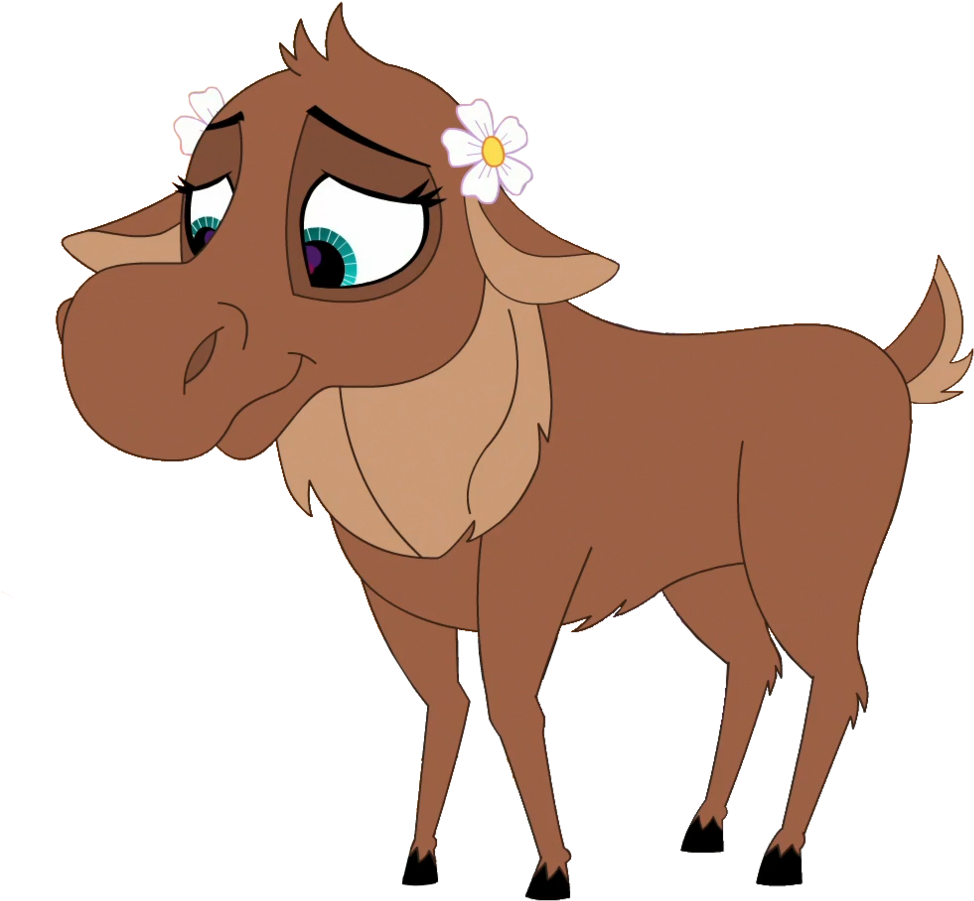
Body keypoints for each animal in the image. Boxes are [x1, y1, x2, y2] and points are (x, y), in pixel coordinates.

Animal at [57, 8, 970, 897]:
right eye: (201, 222)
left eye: (334, 252)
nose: (101, 335)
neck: (407, 460)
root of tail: (890, 366)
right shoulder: (400, 606)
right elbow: (445, 704)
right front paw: (419, 858)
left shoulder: (525, 586)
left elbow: (512, 708)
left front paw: (556, 872)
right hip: (705, 575)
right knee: (754, 665)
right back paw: (705, 827)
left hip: (809, 566)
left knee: (838, 679)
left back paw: (780, 854)